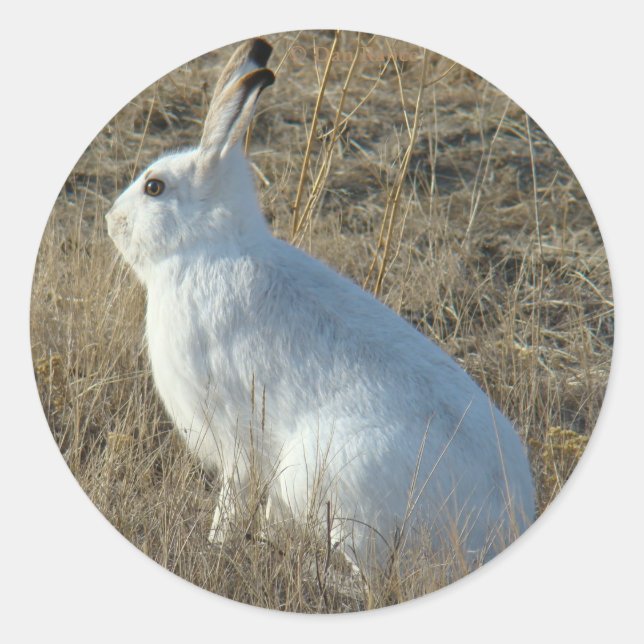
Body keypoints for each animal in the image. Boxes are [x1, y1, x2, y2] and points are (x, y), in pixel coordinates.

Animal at [106, 37, 535, 569]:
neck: (210, 247)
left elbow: (232, 496)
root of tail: (502, 526)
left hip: (331, 481)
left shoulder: (234, 436)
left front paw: (216, 545)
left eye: (154, 187)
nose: (110, 219)